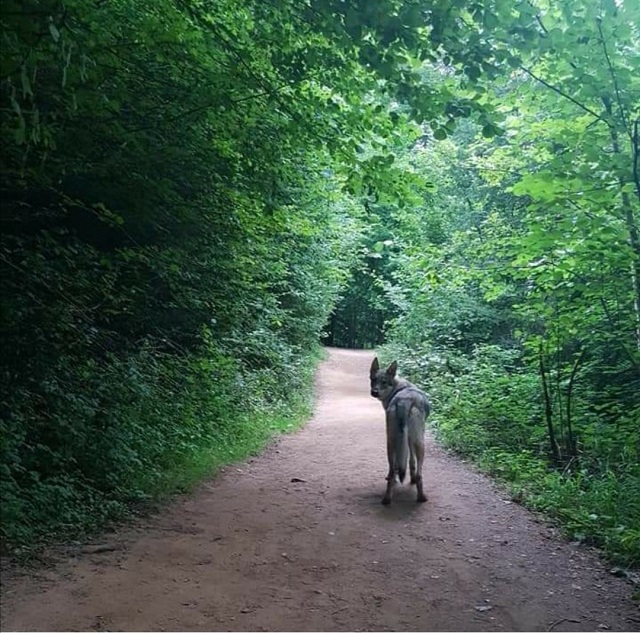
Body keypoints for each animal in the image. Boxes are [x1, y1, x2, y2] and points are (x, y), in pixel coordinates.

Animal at [370, 358, 430, 506]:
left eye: (384, 382)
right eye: (373, 379)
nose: (374, 392)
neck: (399, 388)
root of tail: (404, 400)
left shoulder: (406, 440)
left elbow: (408, 462)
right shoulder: (412, 441)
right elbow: (412, 462)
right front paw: (412, 480)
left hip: (390, 443)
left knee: (392, 471)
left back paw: (387, 499)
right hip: (421, 445)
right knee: (419, 474)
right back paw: (421, 498)